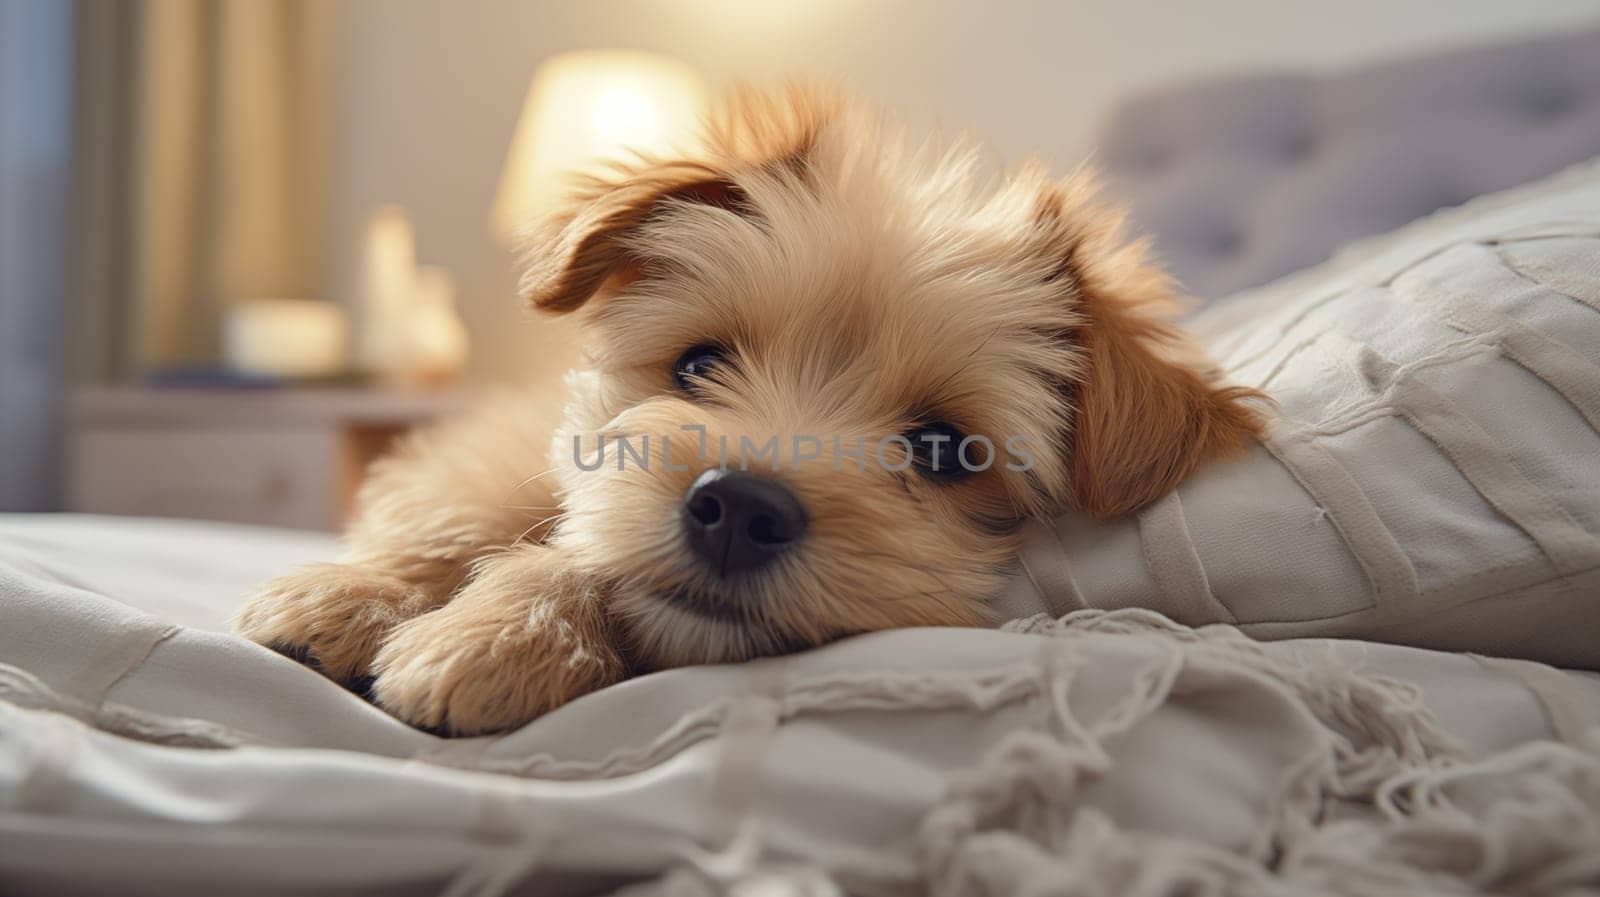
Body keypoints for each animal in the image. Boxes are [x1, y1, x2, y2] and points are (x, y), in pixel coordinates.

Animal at [236, 85, 1260, 735]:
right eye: (698, 363)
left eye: (941, 448)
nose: (739, 506)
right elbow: (562, 540)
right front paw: (488, 625)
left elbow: (573, 554)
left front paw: (493, 640)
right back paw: (347, 593)